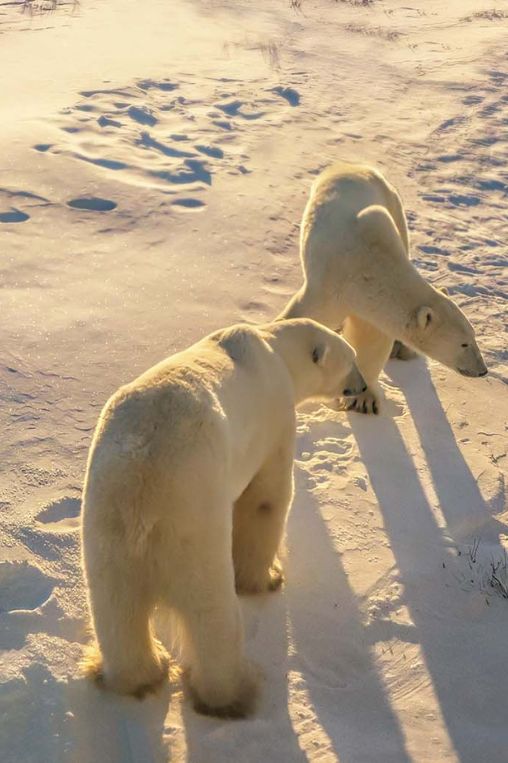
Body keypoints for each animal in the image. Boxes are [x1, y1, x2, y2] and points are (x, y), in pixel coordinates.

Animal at [81, 318, 366, 718]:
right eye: (351, 359)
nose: (363, 386)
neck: (274, 349)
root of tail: (142, 497)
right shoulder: (275, 418)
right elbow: (266, 498)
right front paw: (267, 578)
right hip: (193, 527)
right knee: (212, 615)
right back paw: (233, 692)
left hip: (106, 531)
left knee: (117, 612)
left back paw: (140, 674)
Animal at [279, 161, 488, 414]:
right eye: (464, 343)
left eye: (473, 336)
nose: (482, 370)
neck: (370, 267)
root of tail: (349, 164)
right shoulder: (331, 286)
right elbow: (304, 316)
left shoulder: (371, 304)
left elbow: (373, 340)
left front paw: (363, 400)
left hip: (395, 206)